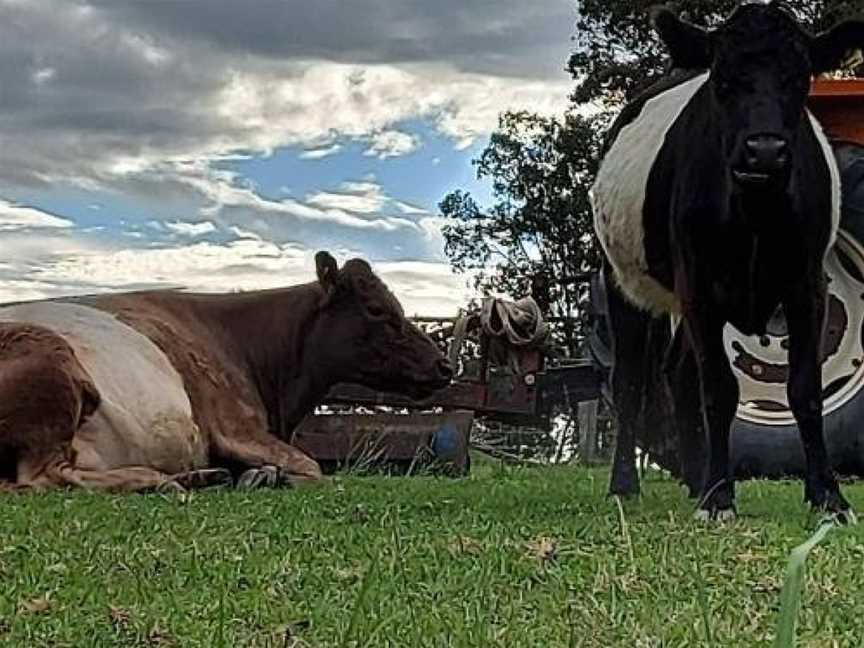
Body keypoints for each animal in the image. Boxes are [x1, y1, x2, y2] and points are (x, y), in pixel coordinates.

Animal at [0, 252, 456, 492]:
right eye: (377, 310)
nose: (445, 364)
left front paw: (256, 474)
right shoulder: (235, 426)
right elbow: (314, 468)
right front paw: (266, 476)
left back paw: (202, 475)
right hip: (54, 367)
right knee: (41, 478)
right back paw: (163, 479)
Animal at [592, 2, 864, 520]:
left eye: (800, 78)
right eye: (721, 81)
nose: (765, 150)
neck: (756, 213)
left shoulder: (807, 285)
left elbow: (805, 389)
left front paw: (826, 493)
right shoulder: (698, 285)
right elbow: (718, 388)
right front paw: (720, 497)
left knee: (678, 374)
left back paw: (695, 477)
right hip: (622, 283)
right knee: (631, 382)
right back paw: (625, 485)